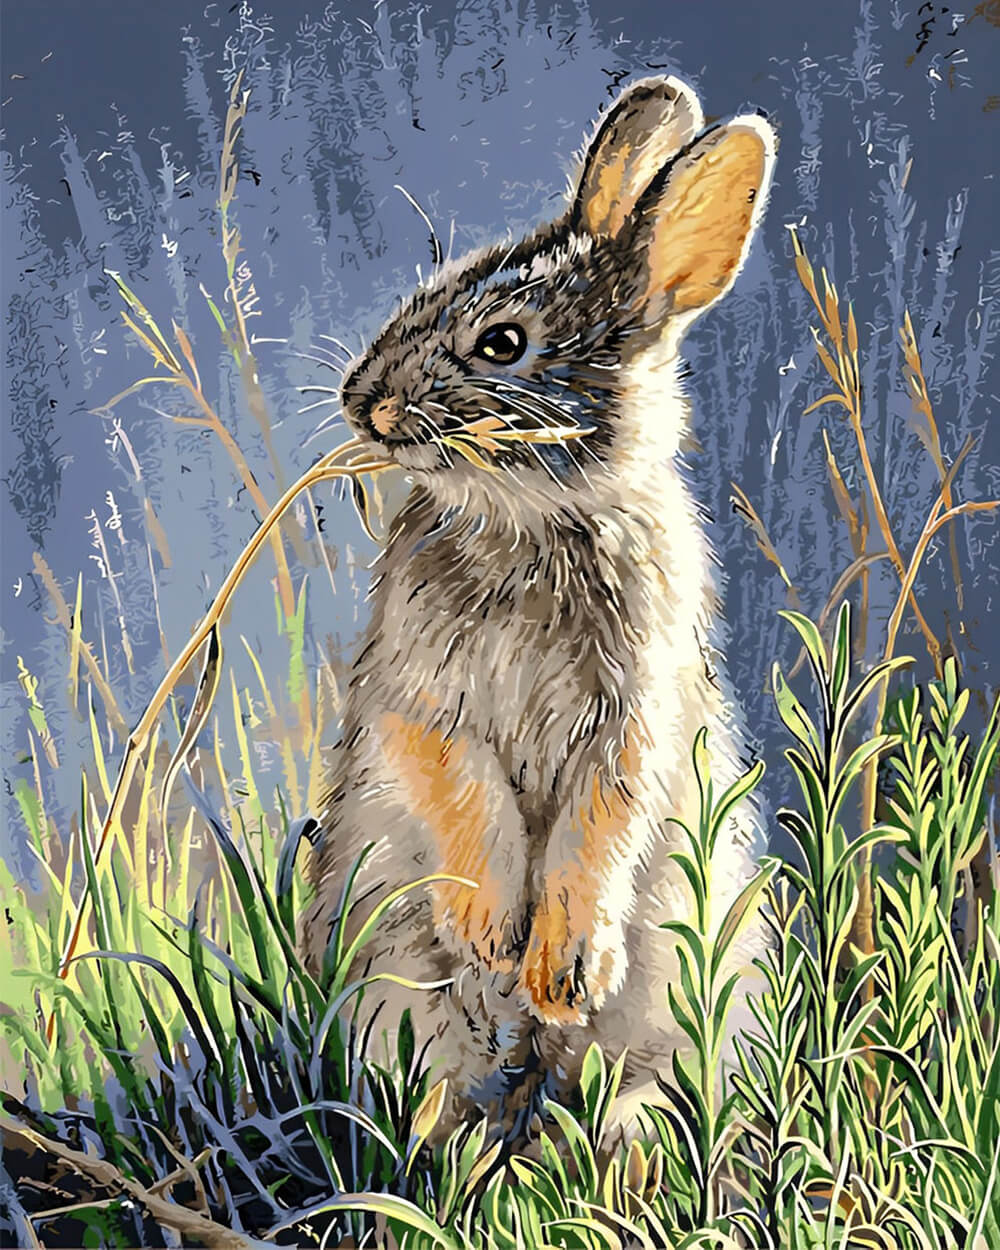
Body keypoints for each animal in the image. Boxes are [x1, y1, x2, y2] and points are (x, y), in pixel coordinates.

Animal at [302, 75, 777, 1144]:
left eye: (505, 344)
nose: (362, 402)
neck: (533, 524)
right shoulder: (420, 696)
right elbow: (463, 789)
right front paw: (493, 936)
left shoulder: (634, 715)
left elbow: (598, 831)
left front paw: (560, 971)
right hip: (394, 996)